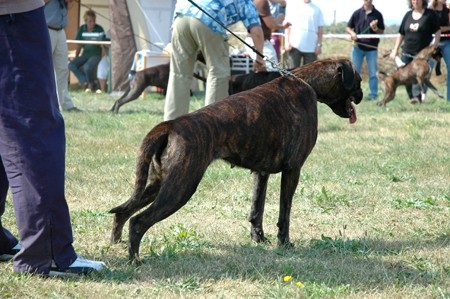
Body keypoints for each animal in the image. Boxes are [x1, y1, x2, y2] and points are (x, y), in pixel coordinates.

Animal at [110, 59, 364, 264]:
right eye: (359, 81)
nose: (361, 96)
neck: (307, 82)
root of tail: (171, 125)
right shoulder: (293, 170)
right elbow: (285, 212)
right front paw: (285, 243)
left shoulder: (262, 173)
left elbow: (256, 209)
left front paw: (258, 239)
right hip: (179, 188)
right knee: (138, 221)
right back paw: (135, 260)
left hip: (157, 184)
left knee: (123, 212)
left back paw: (116, 244)